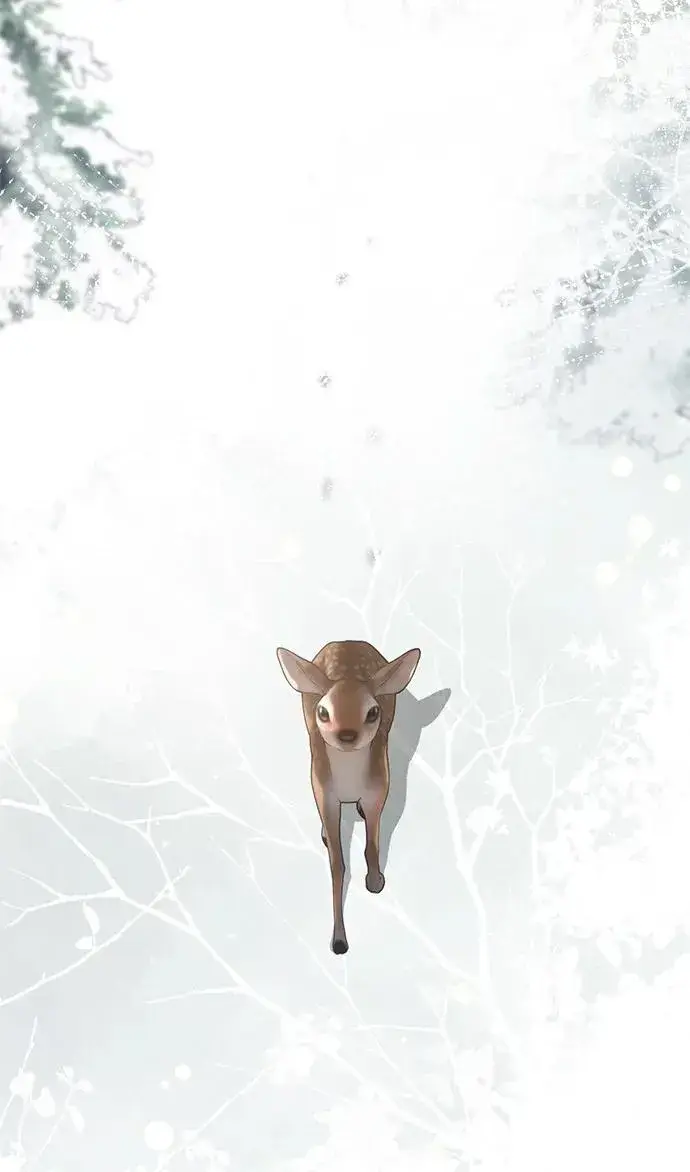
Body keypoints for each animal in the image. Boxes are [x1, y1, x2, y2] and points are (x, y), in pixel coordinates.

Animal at [276, 640, 421, 954]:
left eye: (373, 712)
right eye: (323, 712)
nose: (347, 735)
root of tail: (346, 641)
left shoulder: (379, 789)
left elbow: (372, 846)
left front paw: (375, 882)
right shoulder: (324, 794)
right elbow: (337, 866)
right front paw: (339, 941)